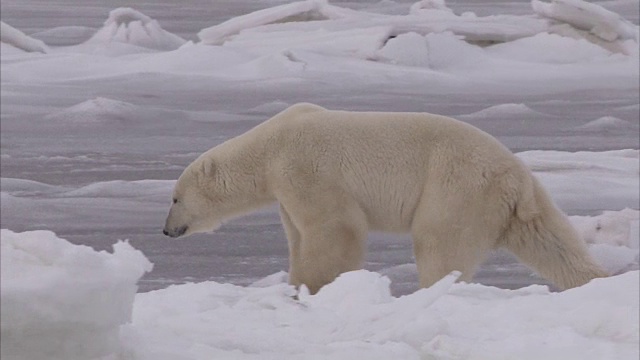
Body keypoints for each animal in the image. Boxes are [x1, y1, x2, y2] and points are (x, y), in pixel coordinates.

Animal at [162, 102, 608, 294]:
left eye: (174, 198)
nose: (165, 231)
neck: (270, 145)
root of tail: (513, 175)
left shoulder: (304, 169)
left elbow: (334, 227)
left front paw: (314, 285)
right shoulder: (285, 192)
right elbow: (299, 235)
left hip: (455, 186)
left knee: (438, 241)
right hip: (518, 203)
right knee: (552, 242)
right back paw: (594, 281)